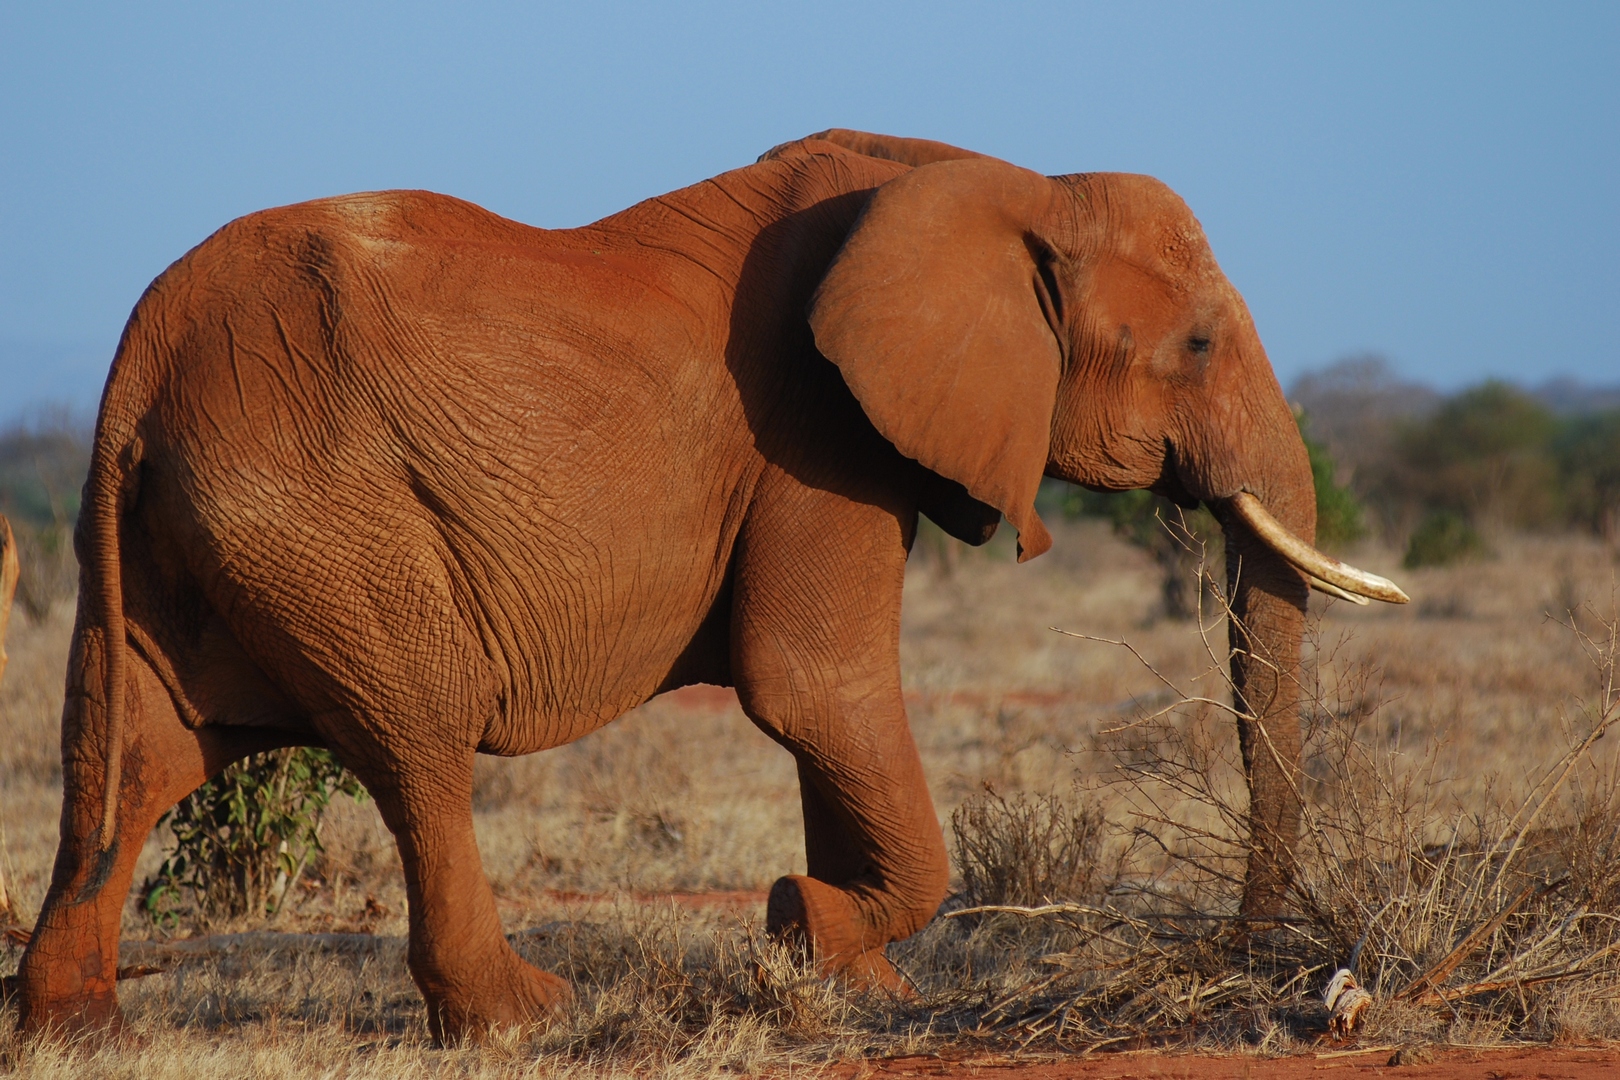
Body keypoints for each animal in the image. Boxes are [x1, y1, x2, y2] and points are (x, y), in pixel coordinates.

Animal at [18, 128, 1406, 1041]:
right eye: (1199, 344)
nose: (1246, 960)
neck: (1000, 177)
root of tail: (138, 358)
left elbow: (820, 710)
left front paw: (856, 980)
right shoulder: (815, 431)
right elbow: (812, 685)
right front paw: (806, 924)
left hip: (192, 524)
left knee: (136, 753)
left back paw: (75, 1032)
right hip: (320, 505)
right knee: (417, 735)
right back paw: (527, 1019)